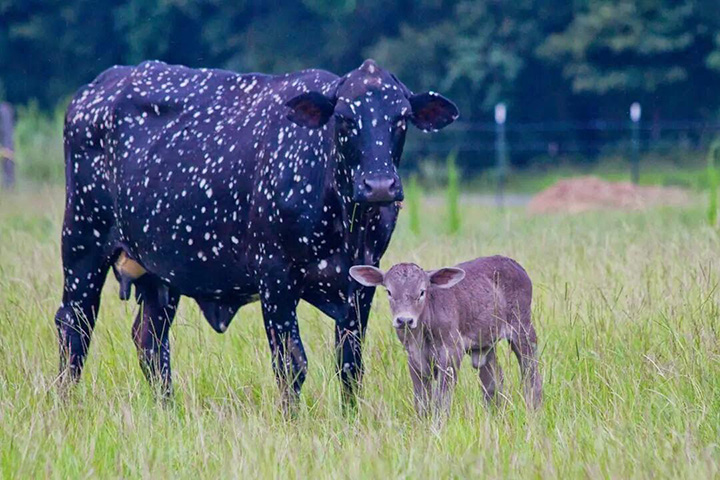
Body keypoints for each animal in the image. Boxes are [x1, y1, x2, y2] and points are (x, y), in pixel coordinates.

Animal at [57, 58, 462, 406]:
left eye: (401, 117)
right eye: (344, 117)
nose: (378, 185)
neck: (345, 222)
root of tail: (97, 87)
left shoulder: (361, 285)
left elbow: (349, 364)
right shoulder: (275, 278)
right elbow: (292, 364)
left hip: (160, 274)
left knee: (150, 342)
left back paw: (167, 410)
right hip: (82, 243)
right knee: (74, 326)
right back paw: (65, 404)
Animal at [352, 255, 544, 416]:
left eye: (422, 292)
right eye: (389, 292)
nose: (404, 320)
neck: (421, 335)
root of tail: (514, 264)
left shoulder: (452, 351)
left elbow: (442, 398)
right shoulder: (413, 358)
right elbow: (421, 400)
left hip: (523, 328)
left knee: (531, 371)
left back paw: (534, 408)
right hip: (485, 344)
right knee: (494, 380)